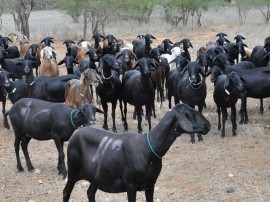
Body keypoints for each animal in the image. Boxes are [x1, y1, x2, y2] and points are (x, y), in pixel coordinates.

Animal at [62, 103, 211, 201]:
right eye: (189, 114)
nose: (207, 125)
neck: (149, 148)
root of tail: (77, 133)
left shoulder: (151, 184)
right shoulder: (131, 185)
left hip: (96, 176)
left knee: (90, 193)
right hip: (73, 170)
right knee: (66, 192)